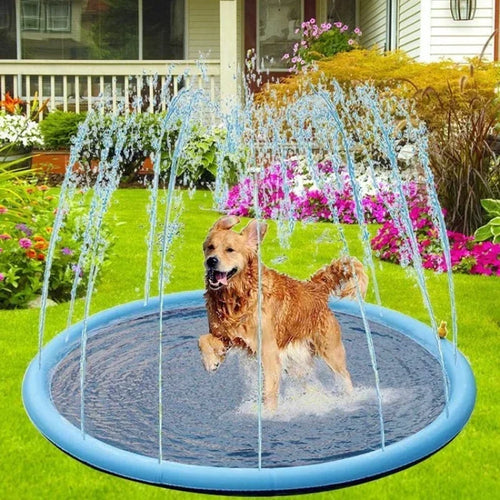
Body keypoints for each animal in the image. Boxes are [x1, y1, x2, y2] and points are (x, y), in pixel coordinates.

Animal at [198, 215, 368, 410]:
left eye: (230, 250)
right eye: (210, 247)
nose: (211, 261)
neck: (237, 296)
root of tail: (314, 288)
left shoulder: (268, 351)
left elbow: (269, 390)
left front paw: (268, 413)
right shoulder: (228, 336)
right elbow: (203, 339)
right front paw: (211, 361)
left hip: (331, 351)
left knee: (344, 376)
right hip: (296, 360)